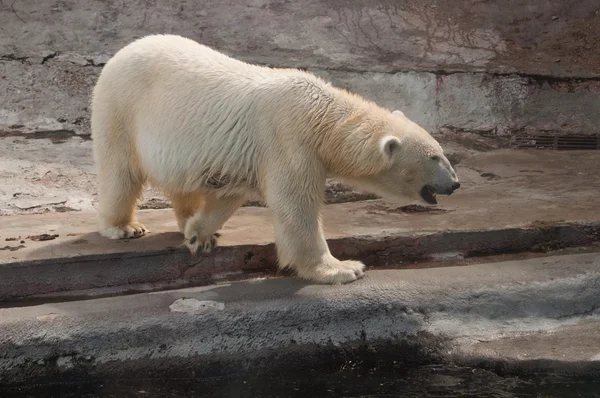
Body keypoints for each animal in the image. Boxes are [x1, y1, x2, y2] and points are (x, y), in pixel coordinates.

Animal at [90, 33, 460, 282]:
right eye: (434, 157)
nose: (455, 184)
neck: (320, 116)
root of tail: (122, 52)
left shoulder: (245, 154)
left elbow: (229, 193)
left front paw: (199, 234)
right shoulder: (288, 137)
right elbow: (296, 206)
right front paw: (343, 269)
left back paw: (186, 220)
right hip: (121, 107)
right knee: (120, 171)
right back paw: (124, 227)